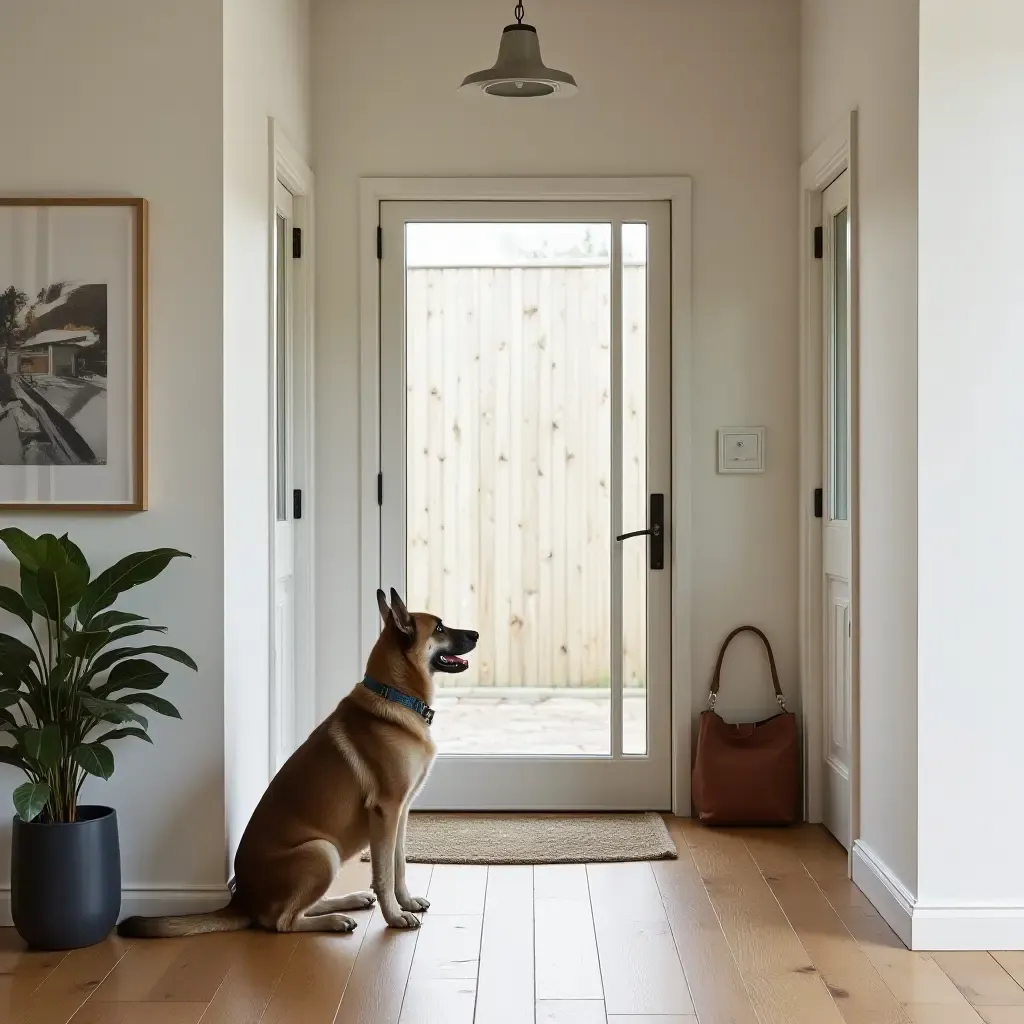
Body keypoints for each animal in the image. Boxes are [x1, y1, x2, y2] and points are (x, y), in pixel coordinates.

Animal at [117, 593, 479, 937]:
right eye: (440, 628)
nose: (476, 633)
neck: (393, 694)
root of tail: (241, 900)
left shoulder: (400, 814)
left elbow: (399, 864)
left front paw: (406, 902)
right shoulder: (386, 812)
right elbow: (384, 873)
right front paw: (394, 916)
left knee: (300, 909)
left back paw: (348, 901)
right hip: (322, 851)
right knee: (283, 922)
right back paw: (335, 920)